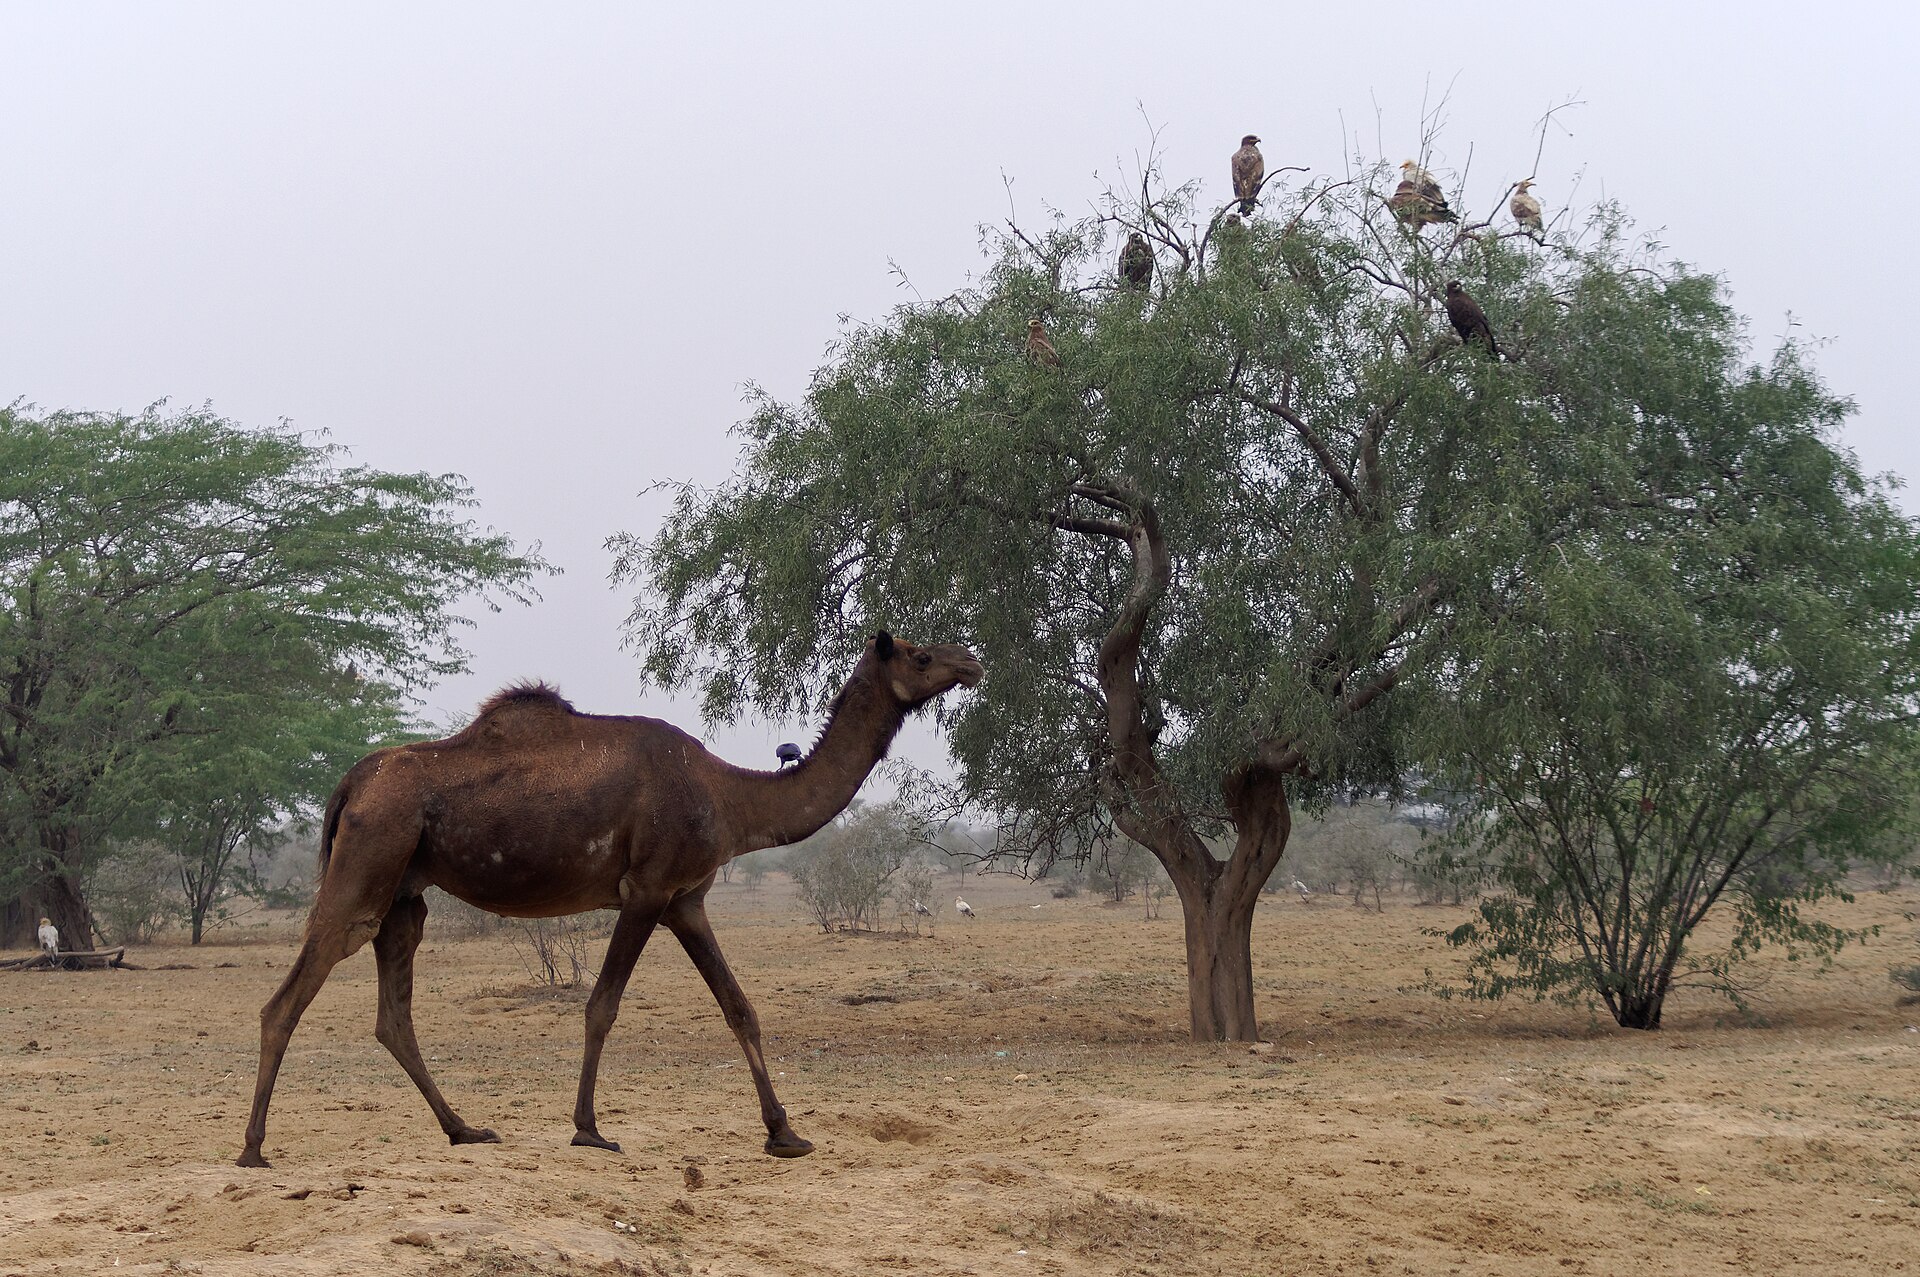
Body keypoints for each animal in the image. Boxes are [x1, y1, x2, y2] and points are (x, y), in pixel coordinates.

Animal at [238, 631, 982, 1169]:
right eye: (920, 653)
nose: (971, 660)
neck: (729, 797)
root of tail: (352, 782)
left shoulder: (687, 901)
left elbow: (739, 1008)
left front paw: (785, 1133)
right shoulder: (647, 890)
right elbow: (602, 1006)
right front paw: (589, 1129)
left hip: (404, 895)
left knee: (393, 1015)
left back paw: (465, 1129)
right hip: (367, 864)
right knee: (286, 999)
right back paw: (253, 1148)